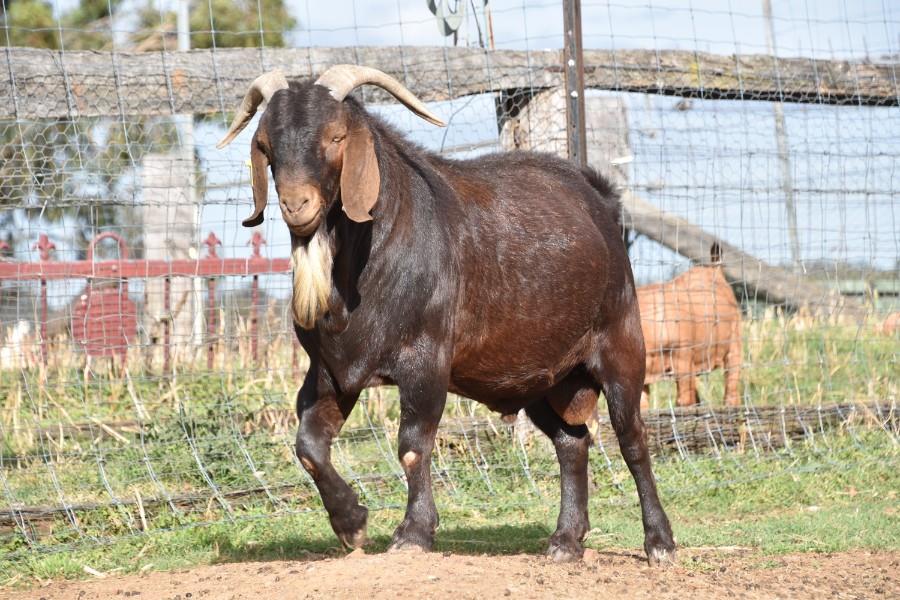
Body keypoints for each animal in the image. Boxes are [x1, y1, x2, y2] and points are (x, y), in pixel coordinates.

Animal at [217, 65, 675, 564]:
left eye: (336, 136)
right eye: (266, 144)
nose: (296, 205)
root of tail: (602, 199)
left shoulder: (426, 360)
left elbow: (413, 446)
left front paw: (413, 533)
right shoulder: (330, 371)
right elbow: (308, 447)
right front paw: (351, 523)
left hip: (620, 341)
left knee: (632, 437)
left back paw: (659, 543)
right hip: (543, 376)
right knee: (572, 442)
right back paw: (565, 542)